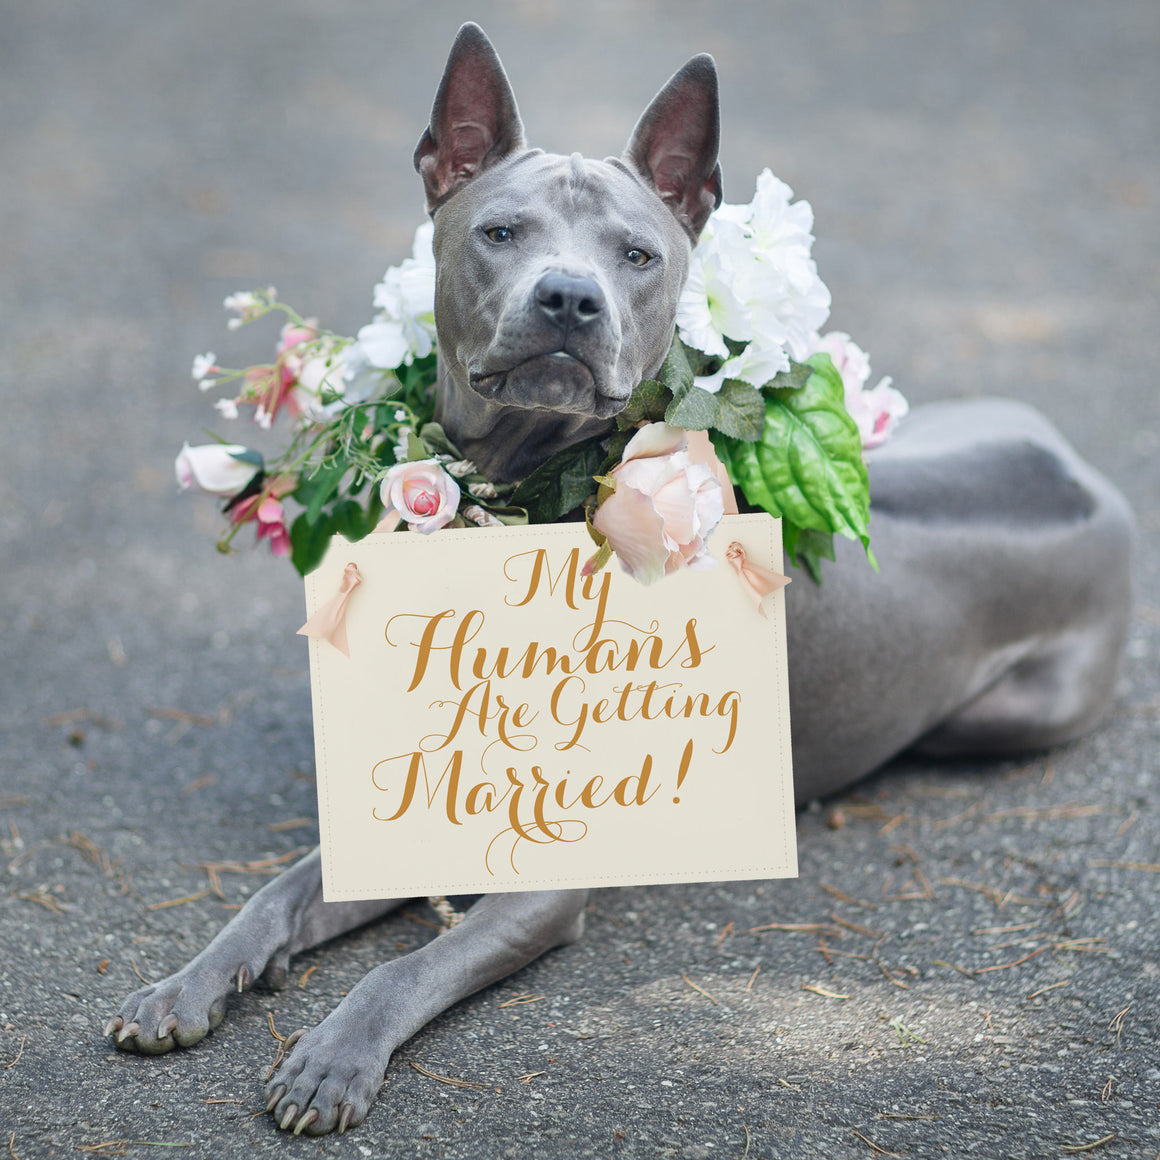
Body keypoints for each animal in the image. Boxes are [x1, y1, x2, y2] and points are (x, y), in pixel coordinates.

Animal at [102, 22, 1132, 1136]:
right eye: (499, 232)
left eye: (635, 254)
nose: (568, 297)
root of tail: (1077, 469)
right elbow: (270, 898)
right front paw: (182, 986)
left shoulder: (546, 880)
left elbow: (403, 968)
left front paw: (332, 1058)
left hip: (1000, 716)